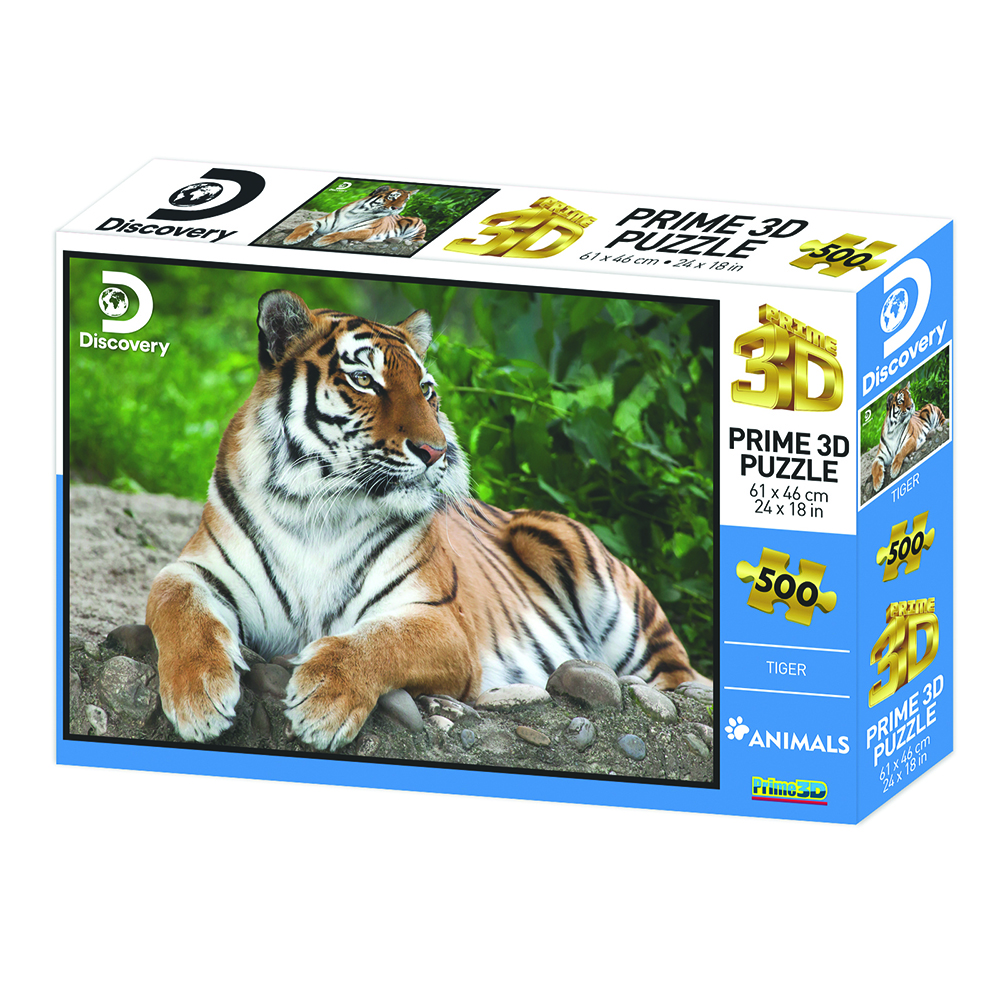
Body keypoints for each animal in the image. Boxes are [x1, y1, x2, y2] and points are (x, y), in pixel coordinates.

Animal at [146, 291, 709, 750]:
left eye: (427, 390)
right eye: (364, 380)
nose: (436, 451)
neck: (318, 506)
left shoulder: (440, 621)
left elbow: (377, 641)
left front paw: (323, 702)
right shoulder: (195, 569)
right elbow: (179, 606)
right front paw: (198, 698)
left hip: (589, 571)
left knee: (678, 677)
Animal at [282, 186, 425, 248]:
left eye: (405, 200)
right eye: (393, 197)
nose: (399, 208)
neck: (357, 212)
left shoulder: (367, 230)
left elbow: (343, 233)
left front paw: (322, 240)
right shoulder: (321, 221)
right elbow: (304, 225)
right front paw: (291, 239)